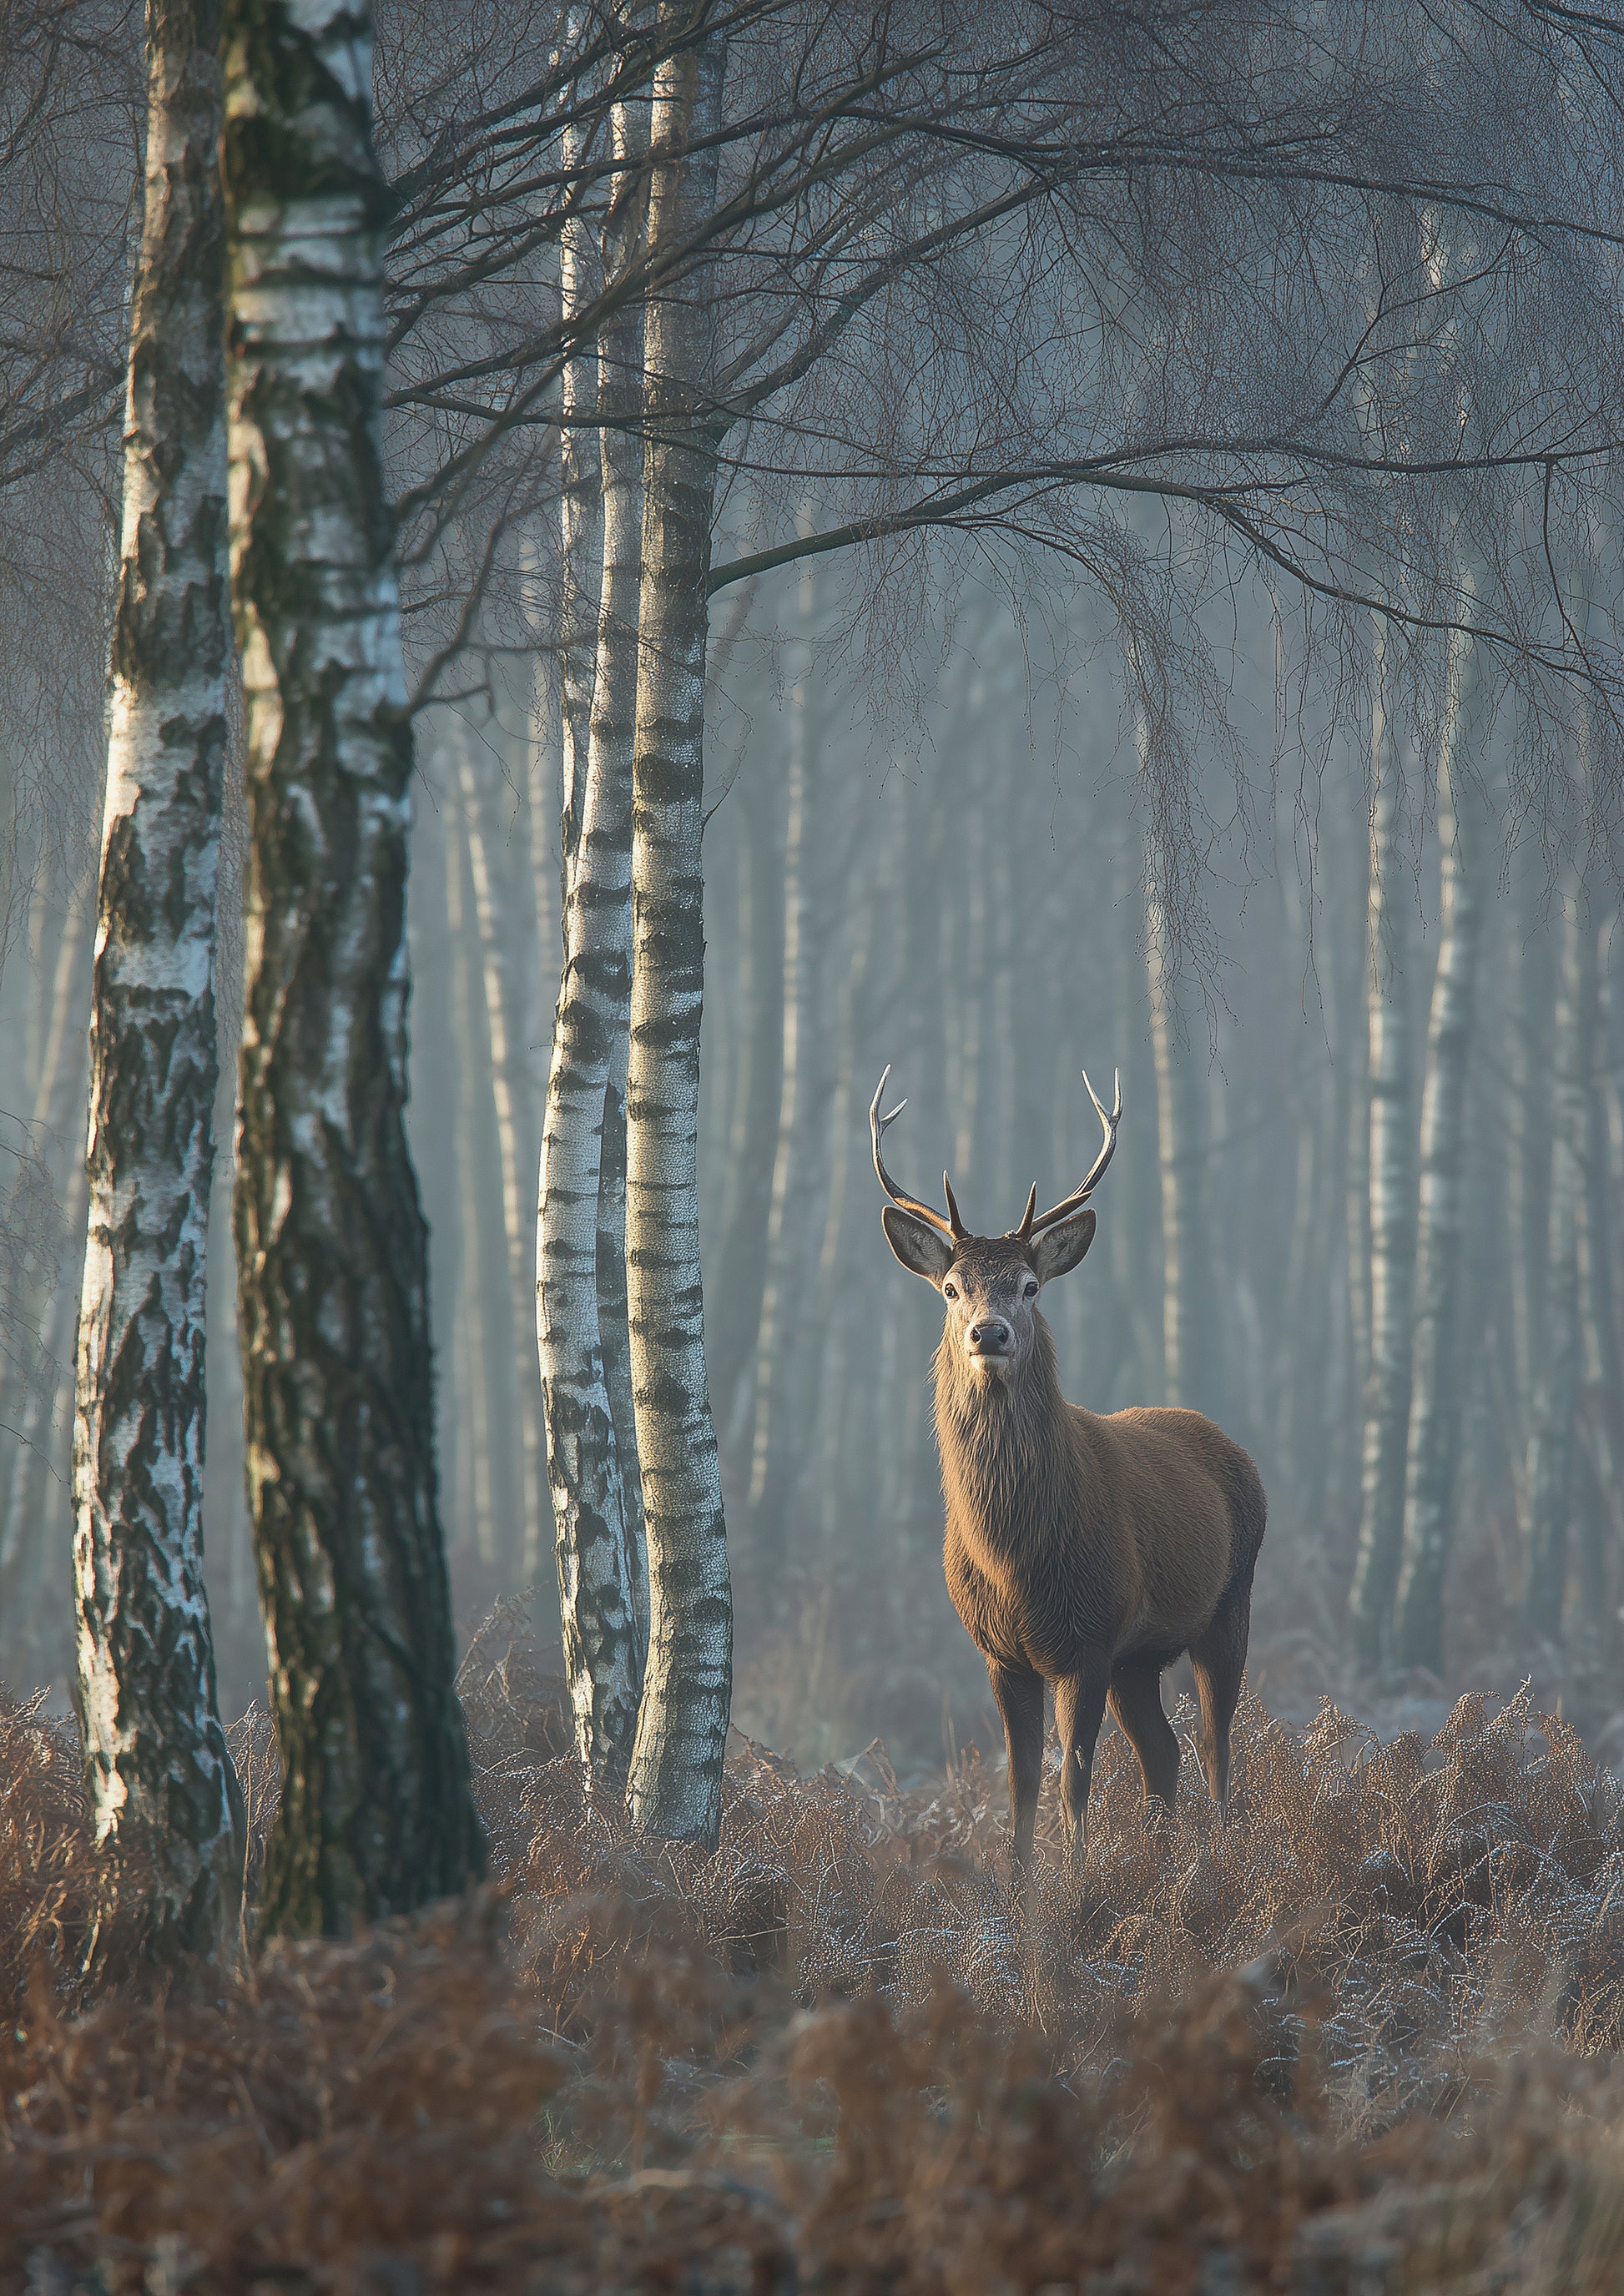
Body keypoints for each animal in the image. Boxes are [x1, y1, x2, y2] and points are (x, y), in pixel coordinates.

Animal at [871, 1065, 1265, 1872]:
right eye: (951, 1289)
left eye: (1029, 1286)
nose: (988, 1333)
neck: (1017, 1560)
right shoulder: (1002, 1652)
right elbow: (1021, 1783)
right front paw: (1020, 1886)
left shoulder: (1087, 1638)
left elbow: (1073, 1780)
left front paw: (1076, 1883)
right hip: (1139, 1657)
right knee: (1163, 1754)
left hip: (1227, 1602)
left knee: (1215, 1745)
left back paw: (1217, 1856)